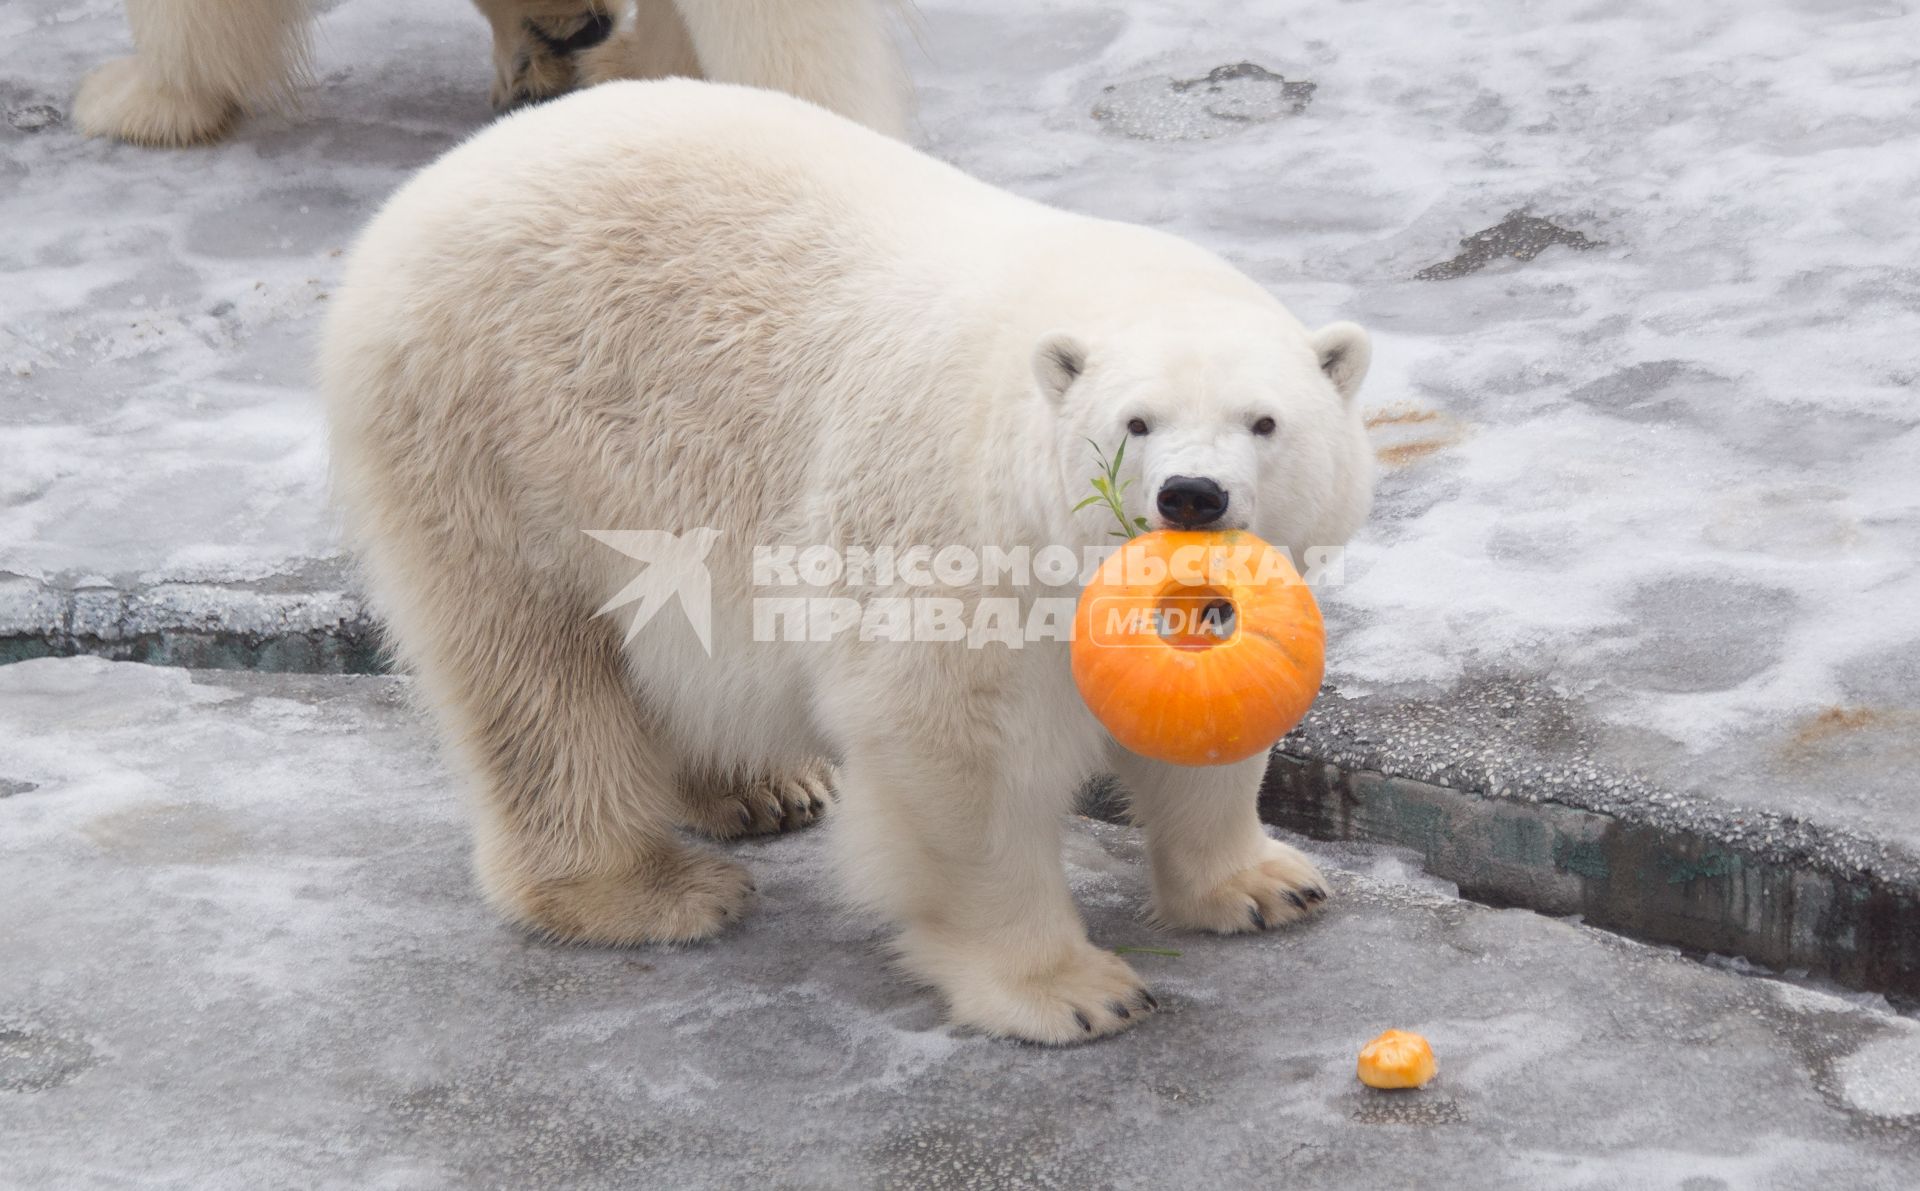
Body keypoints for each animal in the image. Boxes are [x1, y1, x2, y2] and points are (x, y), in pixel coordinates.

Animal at [326, 81, 1382, 1045]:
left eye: (1264, 422)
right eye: (1135, 423)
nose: (1191, 496)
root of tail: (419, 197)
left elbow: (1212, 713)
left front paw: (1266, 884)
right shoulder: (958, 536)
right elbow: (957, 742)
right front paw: (1072, 990)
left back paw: (761, 787)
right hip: (494, 439)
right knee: (537, 671)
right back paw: (650, 889)